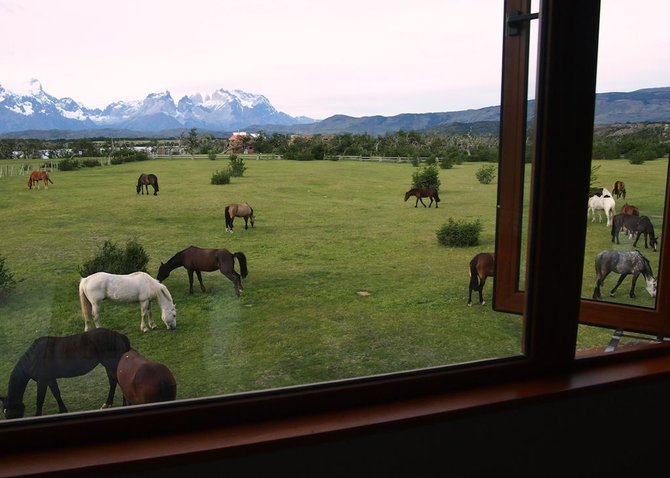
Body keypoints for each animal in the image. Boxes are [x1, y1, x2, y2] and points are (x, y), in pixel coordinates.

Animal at [0, 328, 131, 418]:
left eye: (8, 412)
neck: (33, 358)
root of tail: (118, 335)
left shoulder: (42, 381)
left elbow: (40, 400)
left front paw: (37, 415)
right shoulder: (50, 379)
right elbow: (56, 393)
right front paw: (63, 410)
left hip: (111, 364)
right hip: (109, 366)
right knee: (113, 382)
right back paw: (111, 404)